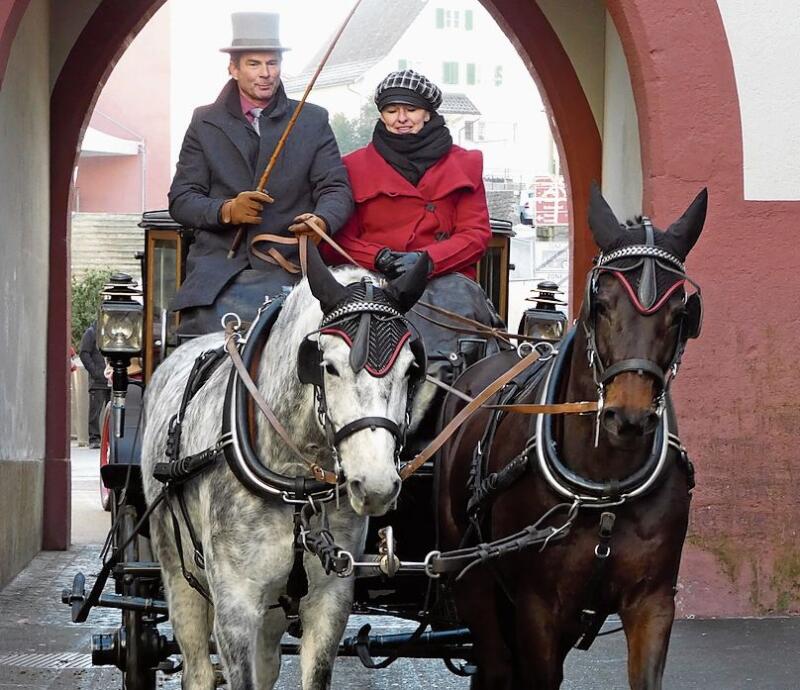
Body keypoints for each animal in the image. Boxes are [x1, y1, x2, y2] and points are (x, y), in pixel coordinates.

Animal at [142, 254, 432, 688]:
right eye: (328, 366)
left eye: (411, 369)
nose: (376, 484)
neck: (296, 480)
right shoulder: (235, 604)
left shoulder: (329, 600)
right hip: (178, 572)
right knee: (196, 668)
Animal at [438, 184, 708, 688]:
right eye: (600, 304)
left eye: (682, 313)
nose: (629, 415)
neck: (606, 487)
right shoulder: (538, 608)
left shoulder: (652, 603)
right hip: (471, 576)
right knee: (496, 663)